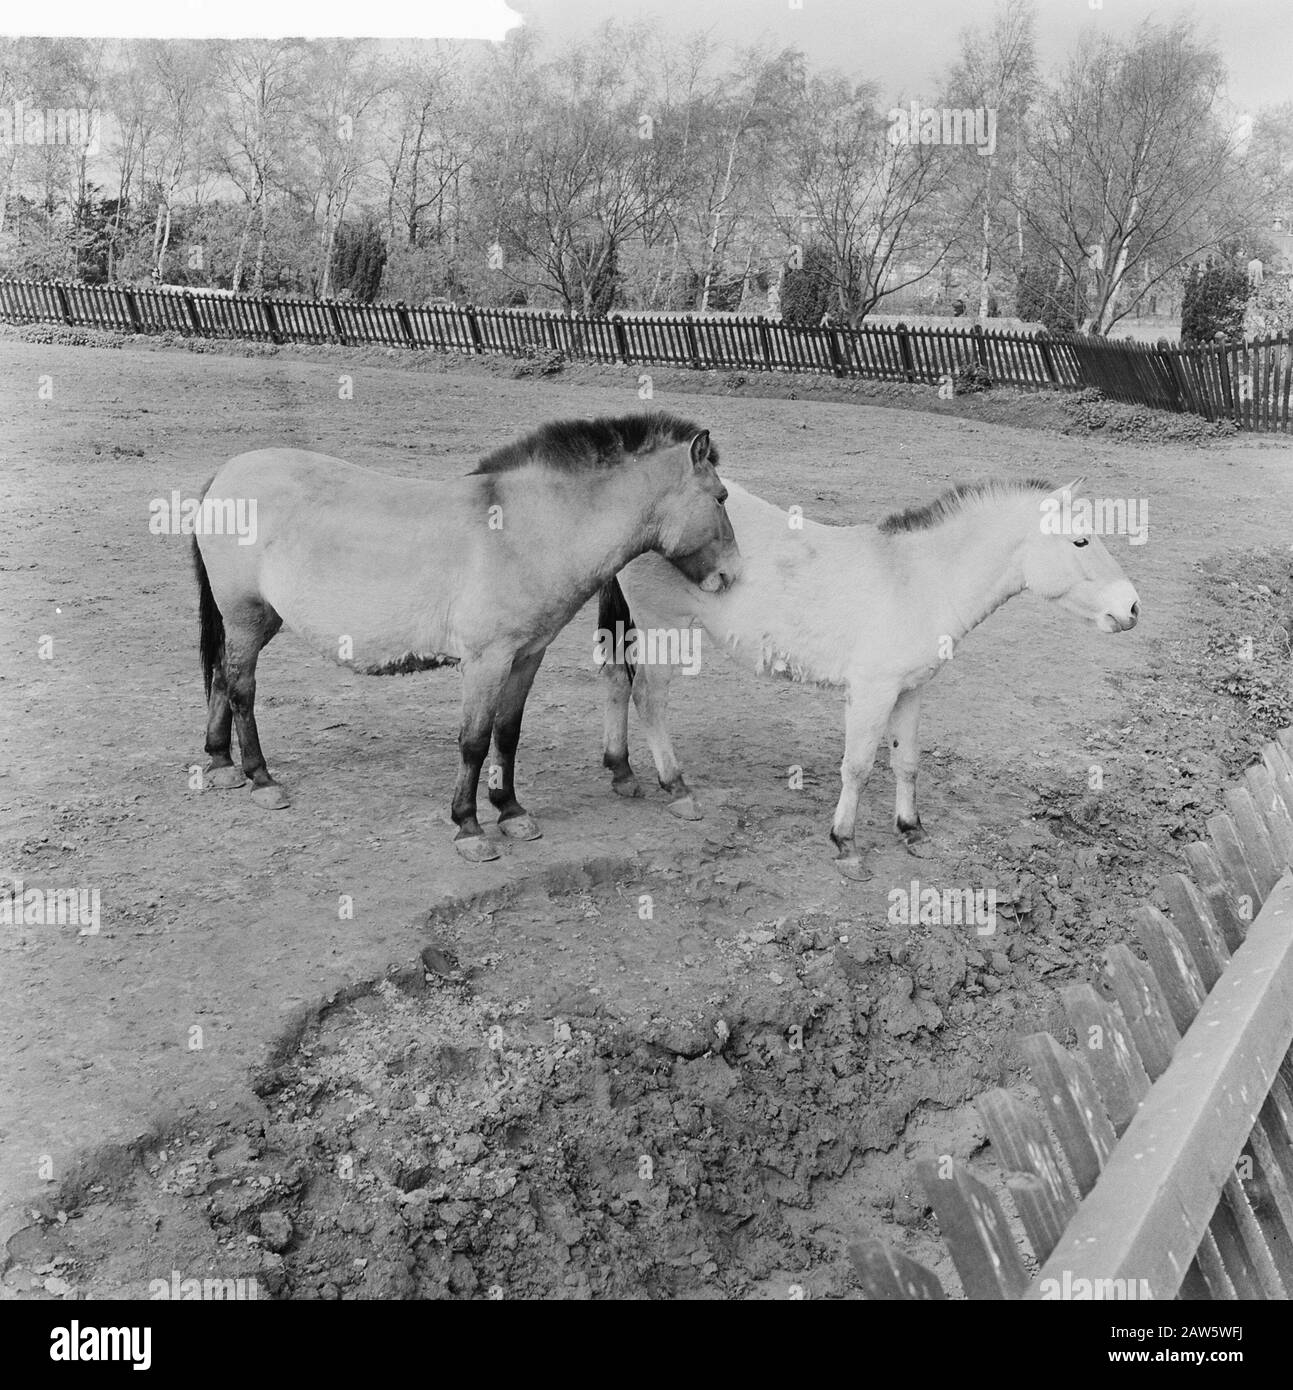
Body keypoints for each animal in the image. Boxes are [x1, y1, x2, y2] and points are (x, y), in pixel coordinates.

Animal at [191, 408, 734, 856]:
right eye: (721, 497)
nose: (729, 575)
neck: (523, 530)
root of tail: (225, 474)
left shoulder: (525, 656)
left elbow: (507, 734)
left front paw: (511, 812)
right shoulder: (485, 661)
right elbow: (473, 741)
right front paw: (469, 827)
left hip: (259, 619)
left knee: (220, 674)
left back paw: (221, 764)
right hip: (245, 616)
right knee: (241, 688)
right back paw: (261, 780)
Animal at [600, 472, 1134, 872]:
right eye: (1081, 540)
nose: (1132, 608)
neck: (919, 580)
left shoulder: (911, 690)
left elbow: (906, 762)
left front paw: (912, 831)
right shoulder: (872, 692)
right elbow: (857, 767)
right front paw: (846, 845)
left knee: (616, 683)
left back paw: (622, 771)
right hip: (664, 626)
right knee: (648, 696)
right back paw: (677, 789)